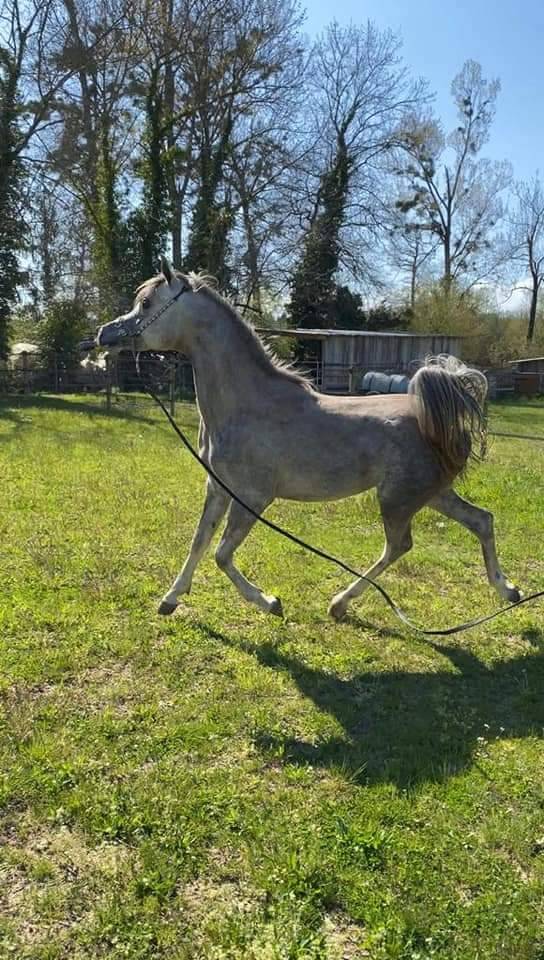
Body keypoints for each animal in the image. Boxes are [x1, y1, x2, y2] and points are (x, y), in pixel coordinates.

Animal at [92, 257, 521, 621]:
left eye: (146, 303)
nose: (103, 334)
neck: (246, 405)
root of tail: (443, 417)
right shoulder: (217, 488)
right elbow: (199, 542)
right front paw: (170, 599)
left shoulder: (252, 498)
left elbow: (222, 555)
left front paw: (269, 602)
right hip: (431, 493)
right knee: (481, 520)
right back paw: (508, 590)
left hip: (398, 499)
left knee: (399, 546)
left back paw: (339, 603)